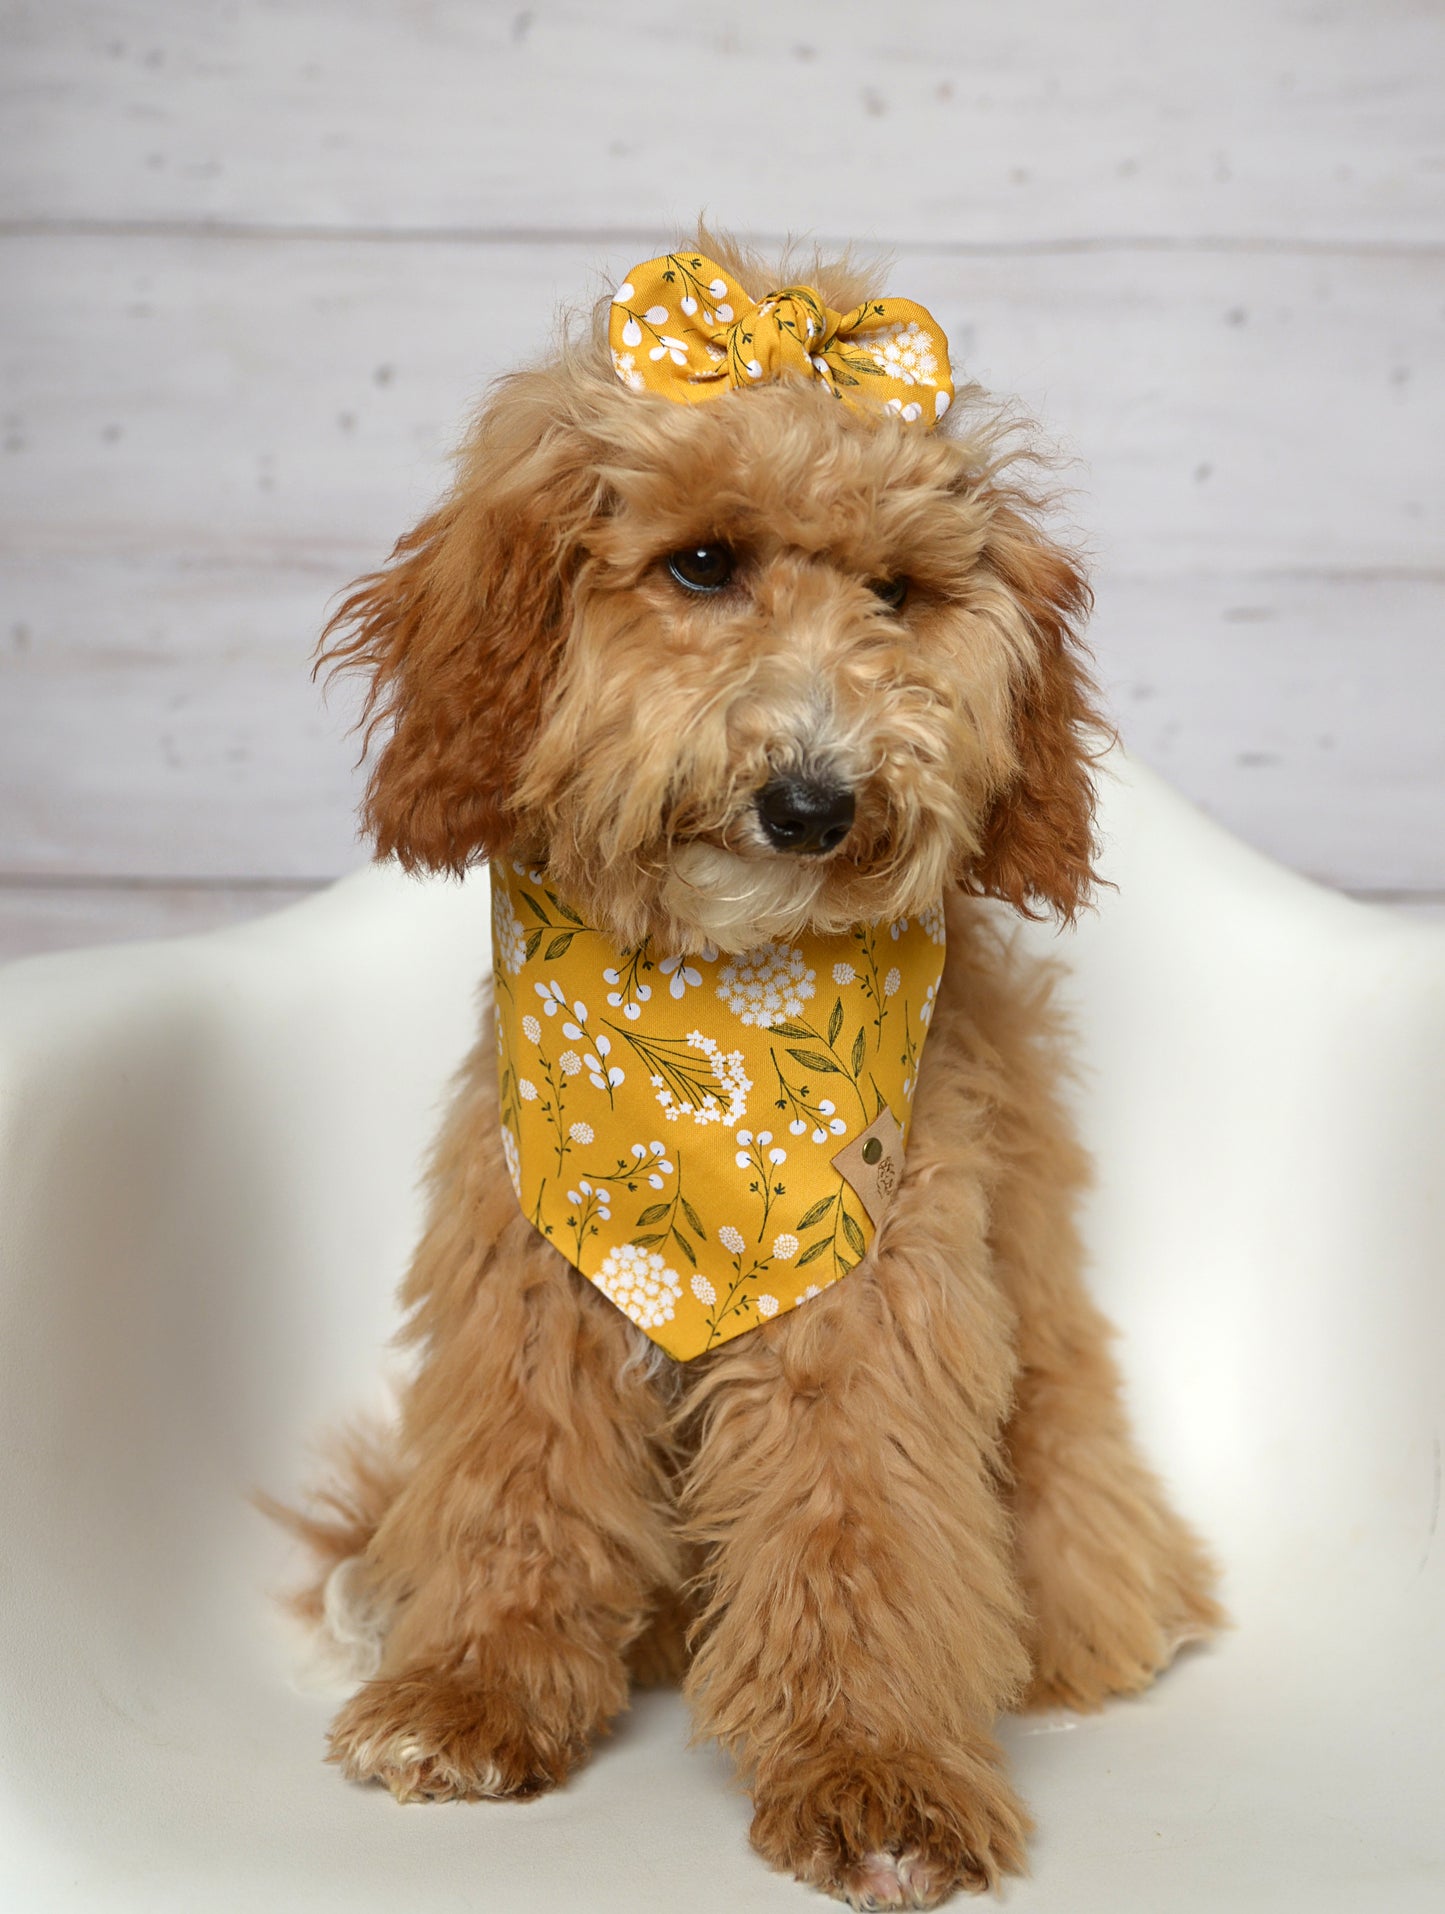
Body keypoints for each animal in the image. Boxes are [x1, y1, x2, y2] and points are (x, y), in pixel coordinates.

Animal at [271, 231, 1217, 1906]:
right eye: (703, 564)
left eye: (897, 594)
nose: (814, 798)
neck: (719, 1027)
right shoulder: (533, 1263)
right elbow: (519, 1483)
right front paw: (471, 1690)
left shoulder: (874, 1278)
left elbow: (860, 1531)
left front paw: (877, 1770)